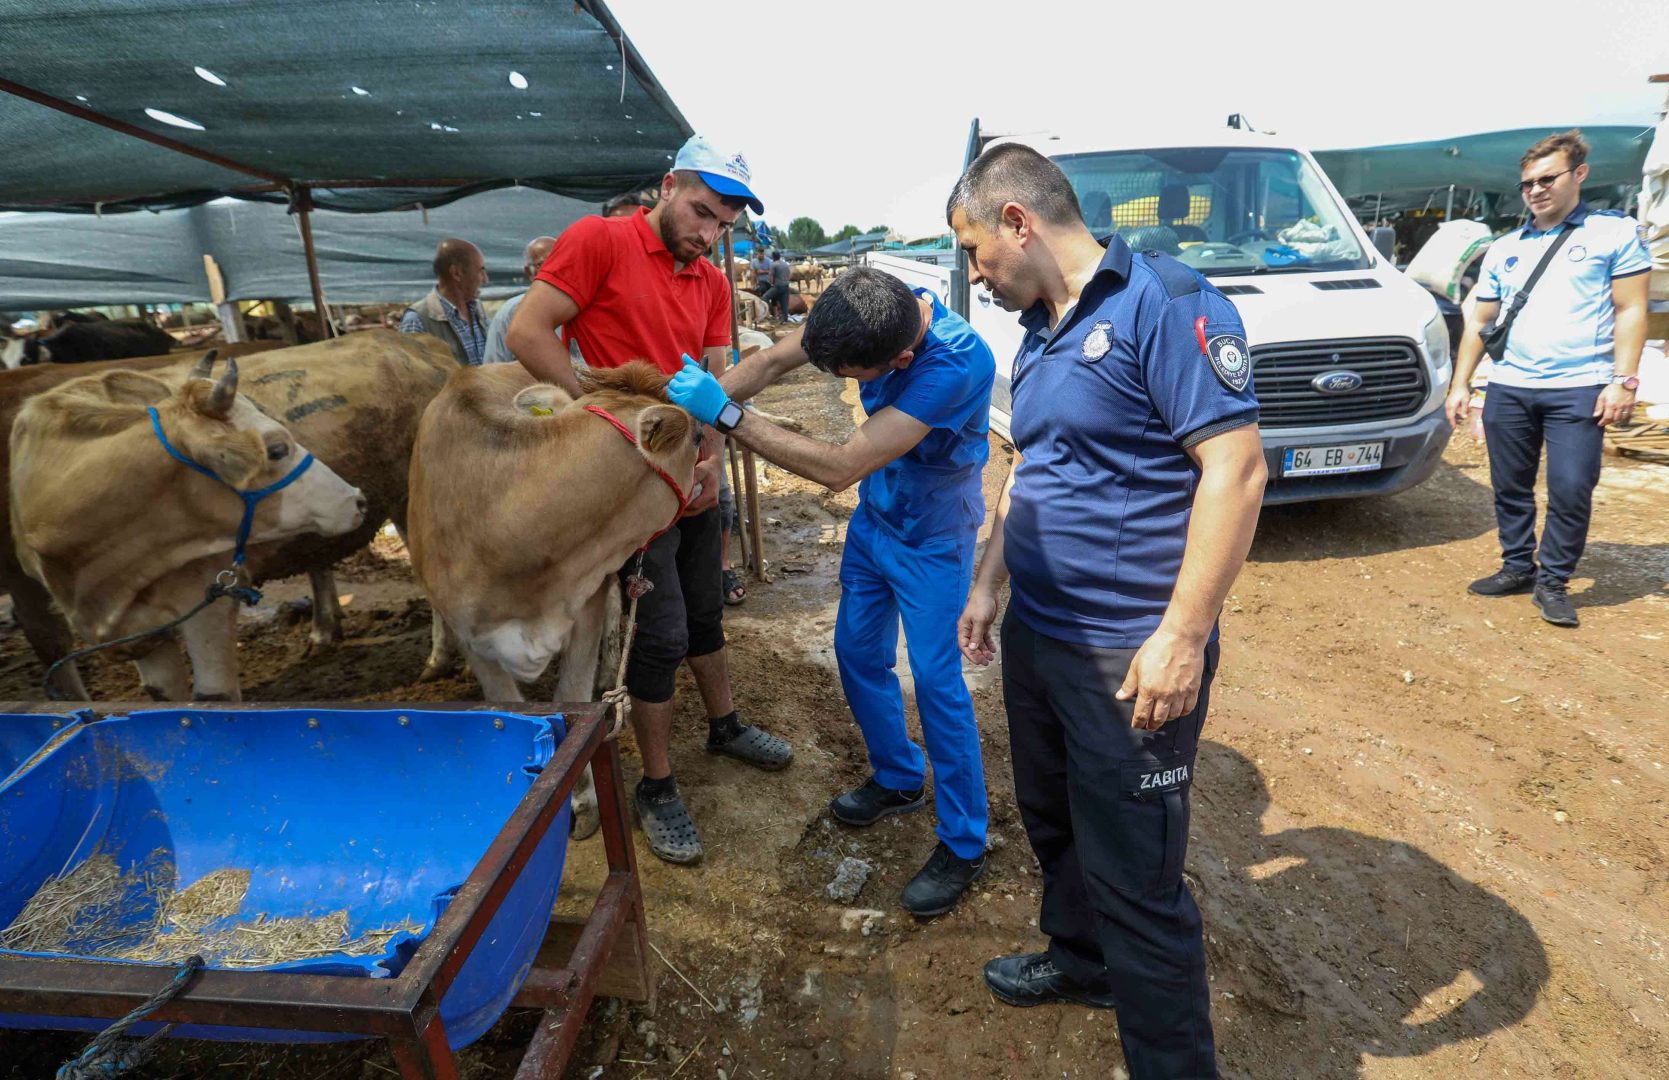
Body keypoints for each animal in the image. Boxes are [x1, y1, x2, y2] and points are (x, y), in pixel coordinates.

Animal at [412, 363, 710, 837]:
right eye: (698, 437)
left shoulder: (585, 601)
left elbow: (574, 693)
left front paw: (583, 800)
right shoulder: (474, 638)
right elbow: (512, 707)